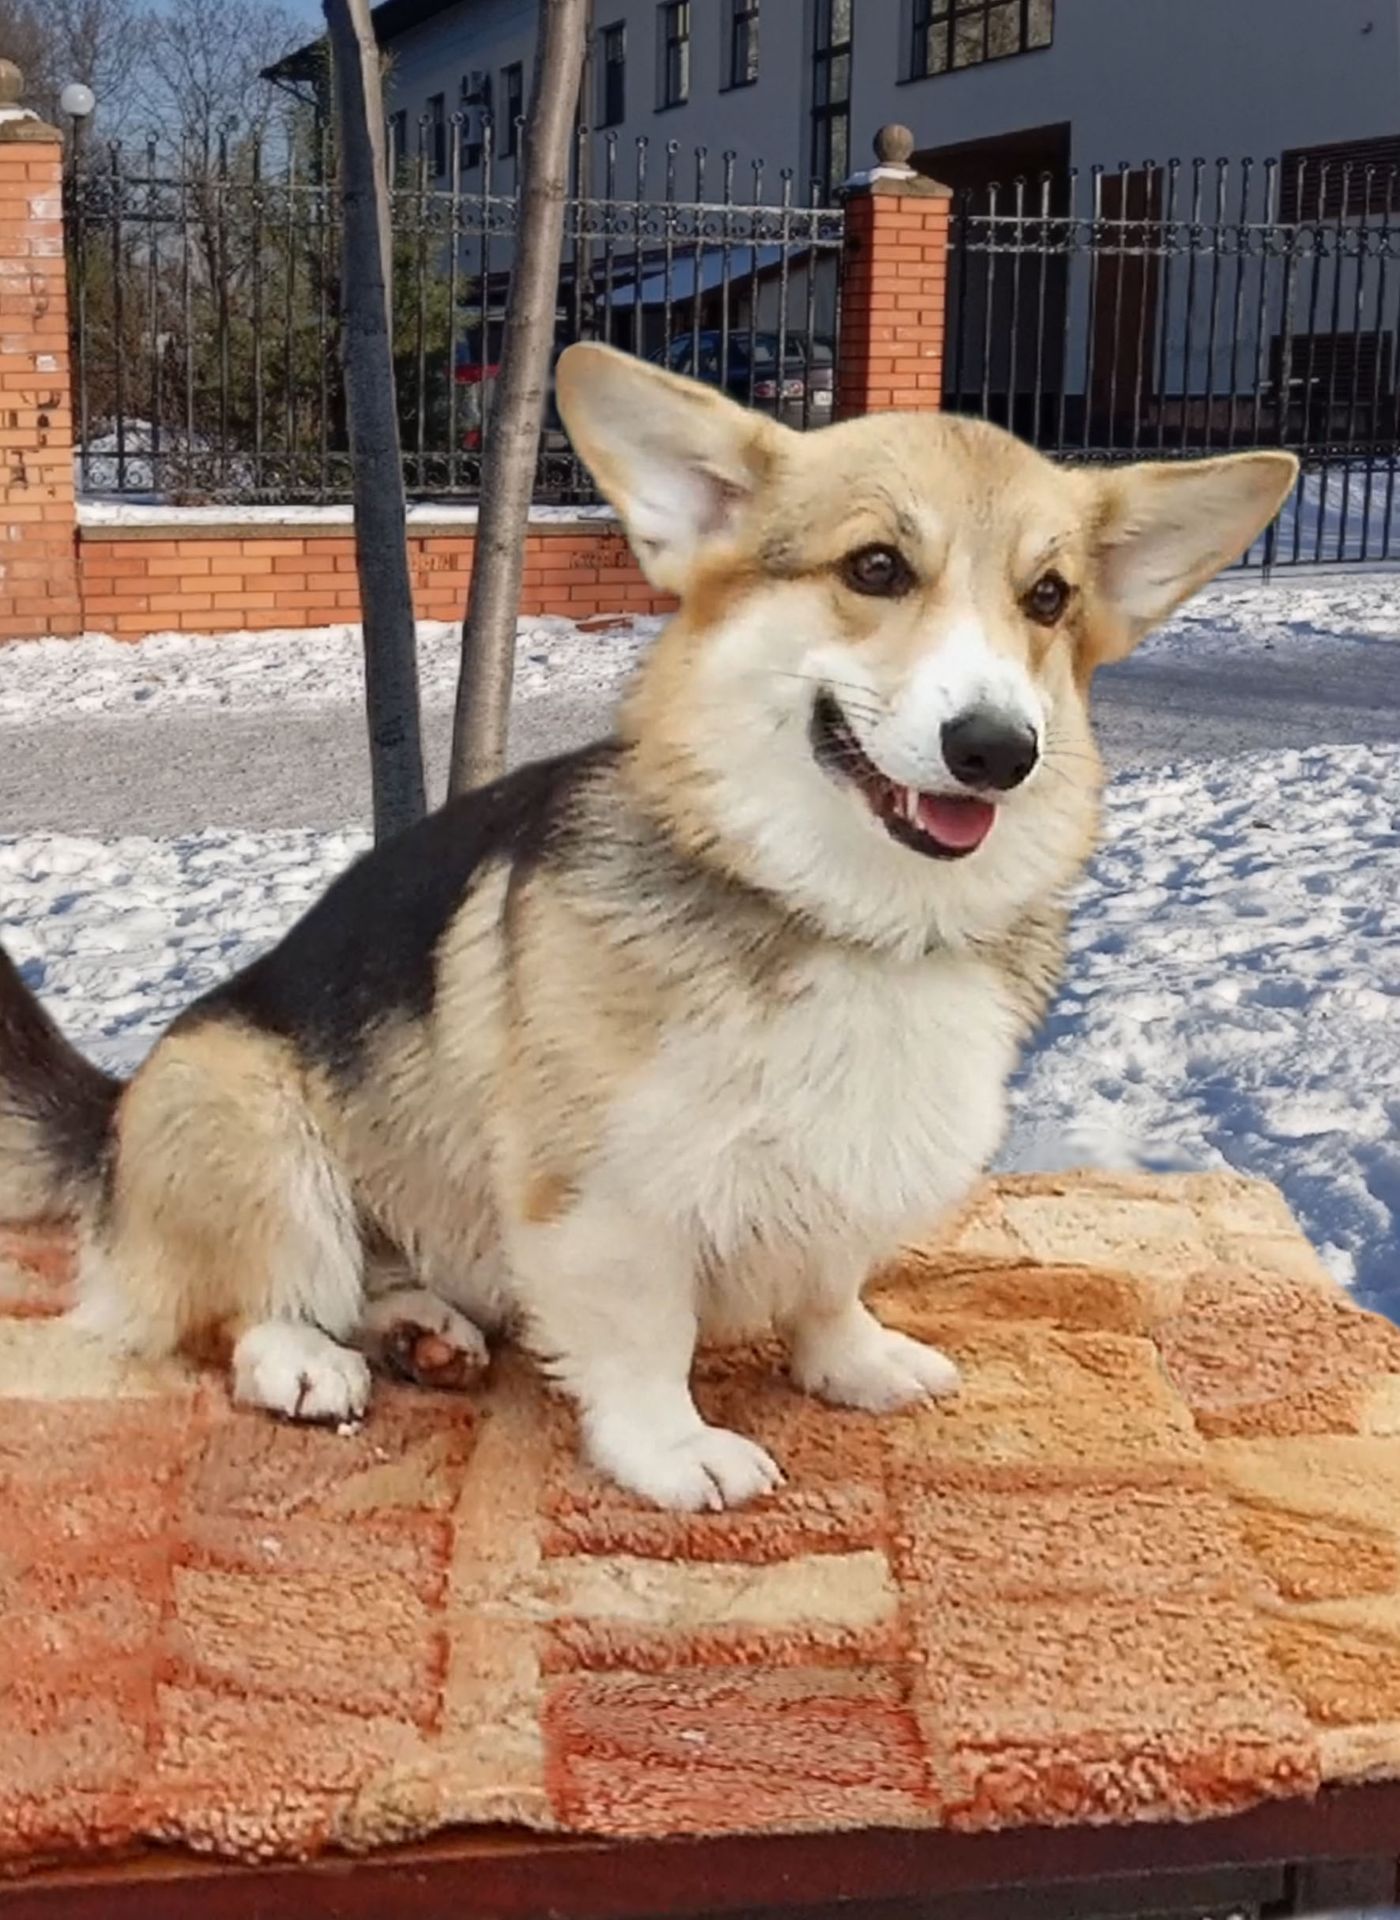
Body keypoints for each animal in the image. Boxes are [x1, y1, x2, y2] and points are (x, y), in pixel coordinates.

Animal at [0, 349, 1290, 1512]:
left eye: (1049, 599)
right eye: (874, 567)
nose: (996, 750)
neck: (843, 911)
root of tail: (109, 1118)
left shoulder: (851, 1162)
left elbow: (829, 1281)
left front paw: (852, 1361)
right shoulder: (607, 1199)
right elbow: (641, 1338)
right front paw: (673, 1451)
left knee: (372, 1278)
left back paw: (422, 1326)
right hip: (247, 1111)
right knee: (243, 1306)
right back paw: (309, 1360)